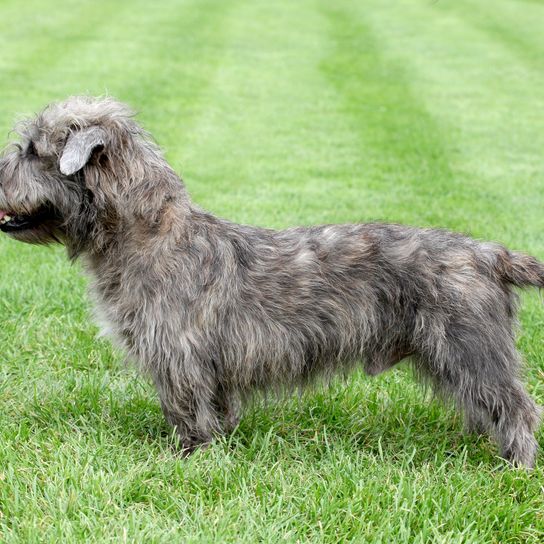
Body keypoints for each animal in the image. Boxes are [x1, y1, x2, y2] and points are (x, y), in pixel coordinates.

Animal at [1, 95, 544, 466]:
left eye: (30, 150)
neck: (150, 235)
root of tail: (488, 254)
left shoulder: (178, 358)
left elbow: (187, 411)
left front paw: (188, 459)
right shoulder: (206, 366)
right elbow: (215, 409)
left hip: (470, 350)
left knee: (518, 407)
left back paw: (515, 467)